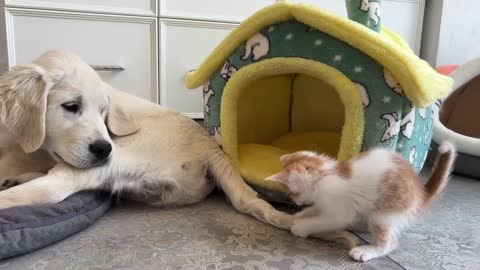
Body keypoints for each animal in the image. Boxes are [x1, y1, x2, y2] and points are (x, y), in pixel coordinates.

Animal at [268, 143, 456, 262]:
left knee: (390, 243)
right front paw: (296, 216)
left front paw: (301, 227)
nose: (292, 200)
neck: (326, 174)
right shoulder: (323, 203)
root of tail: (420, 193)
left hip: (384, 213)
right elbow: (314, 211)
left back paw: (366, 251)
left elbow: (323, 221)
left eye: (291, 192)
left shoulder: (340, 210)